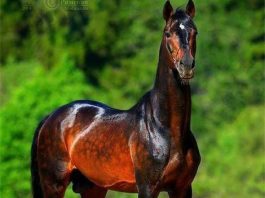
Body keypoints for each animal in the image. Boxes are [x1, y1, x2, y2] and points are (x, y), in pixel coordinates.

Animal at [30, 0, 200, 197]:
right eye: (168, 33)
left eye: (195, 31)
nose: (186, 66)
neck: (167, 129)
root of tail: (50, 118)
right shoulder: (147, 188)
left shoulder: (182, 188)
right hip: (53, 184)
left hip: (93, 187)